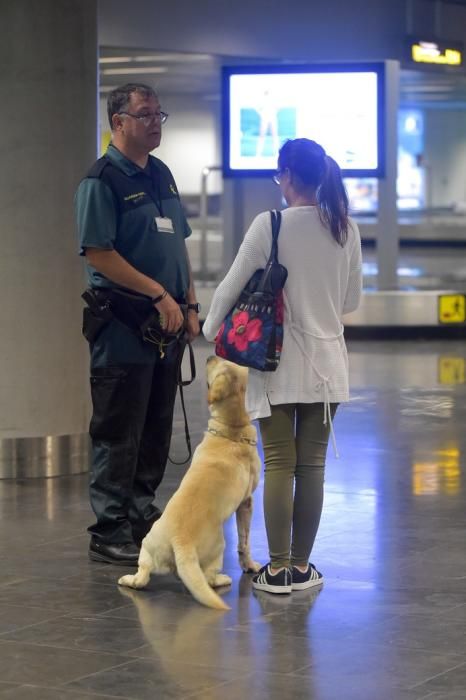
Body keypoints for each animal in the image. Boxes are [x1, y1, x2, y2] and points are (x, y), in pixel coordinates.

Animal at [118, 356, 260, 608]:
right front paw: (250, 566)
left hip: (148, 544)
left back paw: (129, 579)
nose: (210, 356)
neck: (232, 431)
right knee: (209, 578)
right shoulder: (247, 503)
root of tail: (180, 541)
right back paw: (223, 579)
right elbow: (245, 542)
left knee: (142, 577)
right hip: (219, 546)